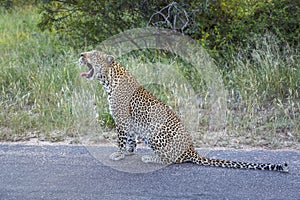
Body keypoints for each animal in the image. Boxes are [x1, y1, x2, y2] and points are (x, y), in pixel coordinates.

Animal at [79, 50, 288, 173]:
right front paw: (129, 152)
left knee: (170, 159)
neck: (108, 79)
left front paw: (119, 154)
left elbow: (122, 140)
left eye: (93, 55)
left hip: (156, 131)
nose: (81, 55)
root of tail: (192, 150)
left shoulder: (121, 120)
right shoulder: (129, 122)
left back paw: (150, 158)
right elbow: (131, 139)